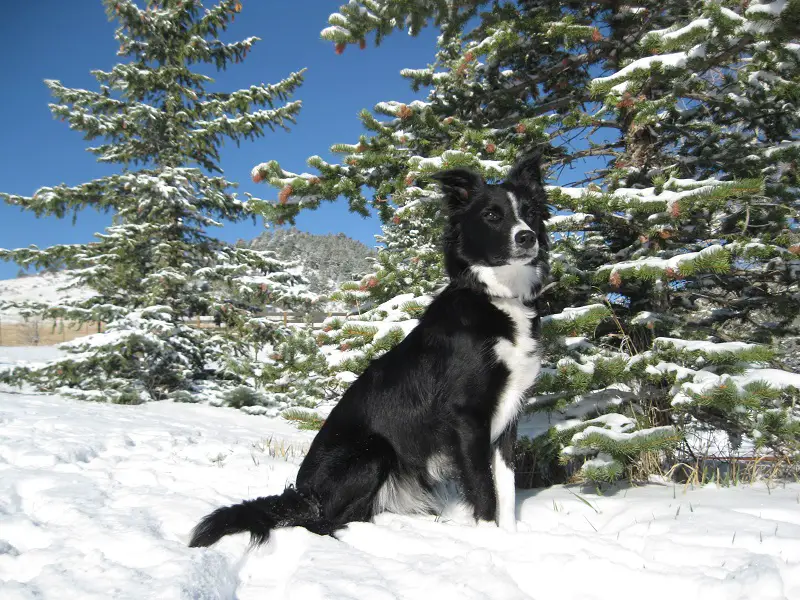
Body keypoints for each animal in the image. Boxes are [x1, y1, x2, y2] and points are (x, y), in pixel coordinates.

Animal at [188, 155, 552, 548]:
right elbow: (484, 490)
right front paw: (490, 541)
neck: (499, 298)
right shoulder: (467, 417)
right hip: (374, 451)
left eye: (530, 213)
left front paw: (510, 538)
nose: (527, 237)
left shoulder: (509, 415)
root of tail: (304, 494)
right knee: (324, 523)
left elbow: (507, 488)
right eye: (492, 215)